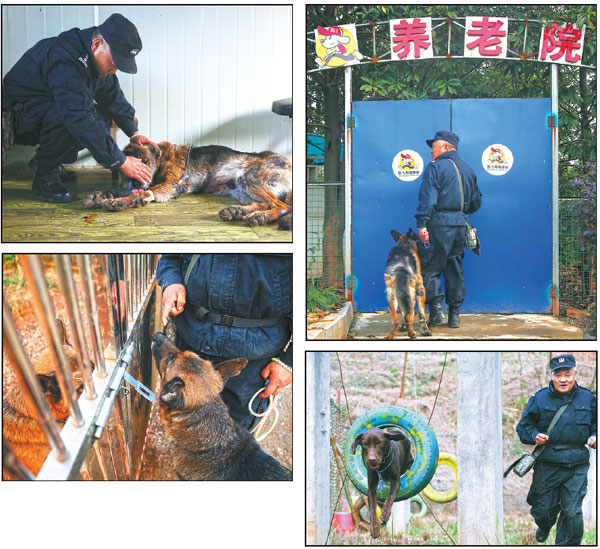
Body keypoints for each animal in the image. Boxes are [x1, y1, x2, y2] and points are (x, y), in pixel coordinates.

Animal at [82, 141, 292, 229]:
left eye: (146, 162)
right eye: (130, 167)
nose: (135, 182)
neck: (161, 160)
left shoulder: (174, 183)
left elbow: (143, 193)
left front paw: (121, 202)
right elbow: (117, 190)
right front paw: (97, 196)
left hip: (249, 178)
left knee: (283, 206)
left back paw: (261, 216)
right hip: (239, 187)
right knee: (268, 203)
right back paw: (238, 211)